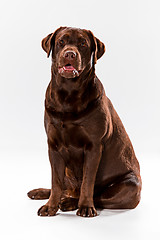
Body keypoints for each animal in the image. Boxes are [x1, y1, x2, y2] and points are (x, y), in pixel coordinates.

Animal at [27, 26, 141, 218]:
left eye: (82, 44)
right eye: (61, 42)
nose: (70, 54)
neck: (68, 94)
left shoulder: (94, 147)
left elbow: (88, 182)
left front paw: (85, 207)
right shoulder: (54, 147)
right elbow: (56, 181)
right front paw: (50, 206)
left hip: (130, 185)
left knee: (98, 196)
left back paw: (70, 203)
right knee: (64, 187)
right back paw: (43, 193)